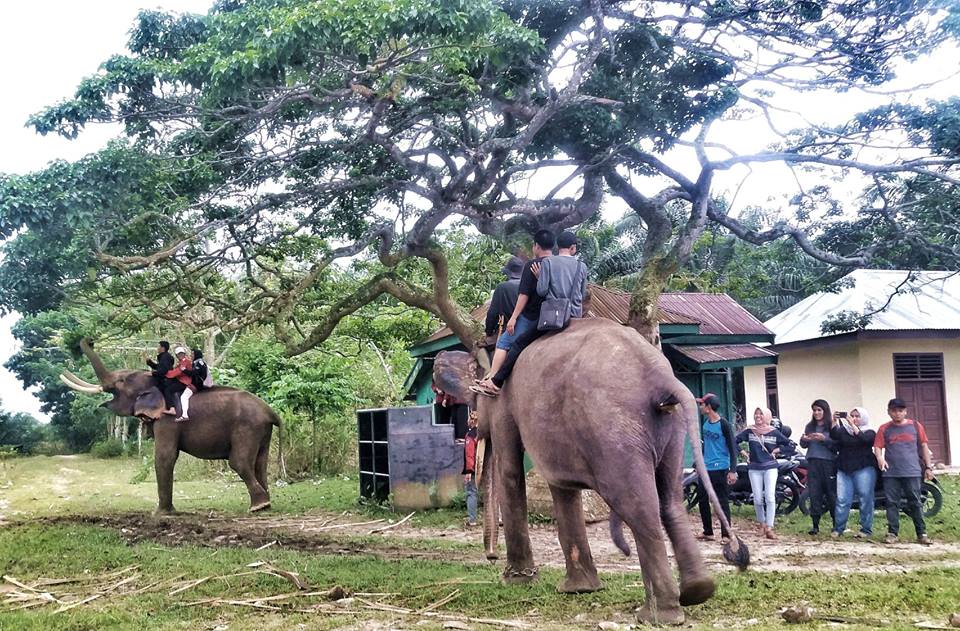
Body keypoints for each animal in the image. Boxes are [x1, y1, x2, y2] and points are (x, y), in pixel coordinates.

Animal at [60, 340, 280, 512]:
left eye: (122, 381)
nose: (89, 340)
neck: (157, 382)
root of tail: (271, 412)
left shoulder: (167, 420)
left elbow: (165, 456)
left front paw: (162, 514)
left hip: (247, 427)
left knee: (239, 462)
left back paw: (257, 506)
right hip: (261, 430)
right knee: (260, 463)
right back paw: (265, 505)